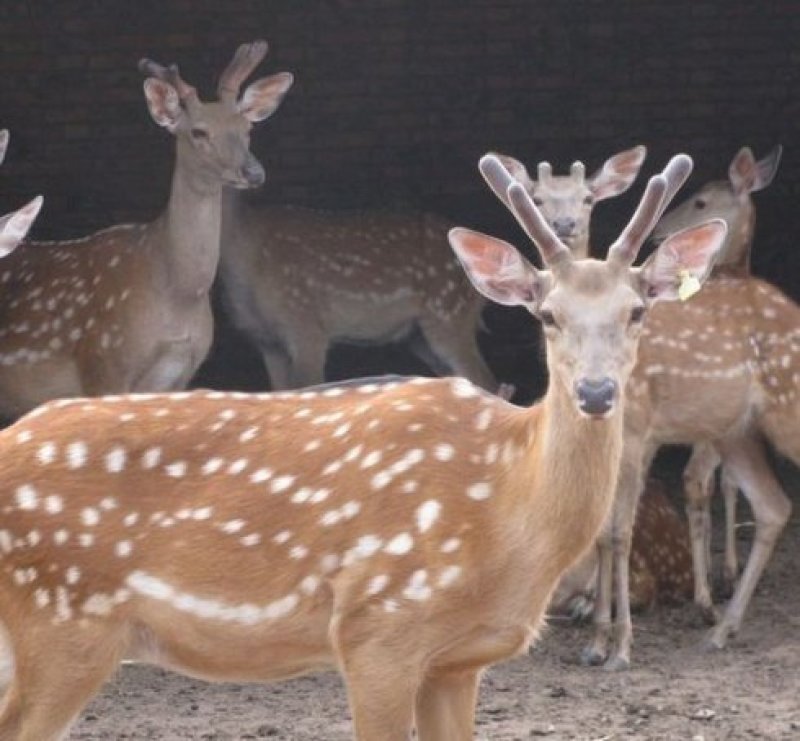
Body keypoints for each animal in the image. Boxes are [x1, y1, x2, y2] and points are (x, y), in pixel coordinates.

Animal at [0, 152, 725, 740]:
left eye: (638, 310)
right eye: (546, 314)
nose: (597, 392)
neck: (504, 513)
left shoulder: (457, 661)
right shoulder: (377, 627)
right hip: (63, 619)